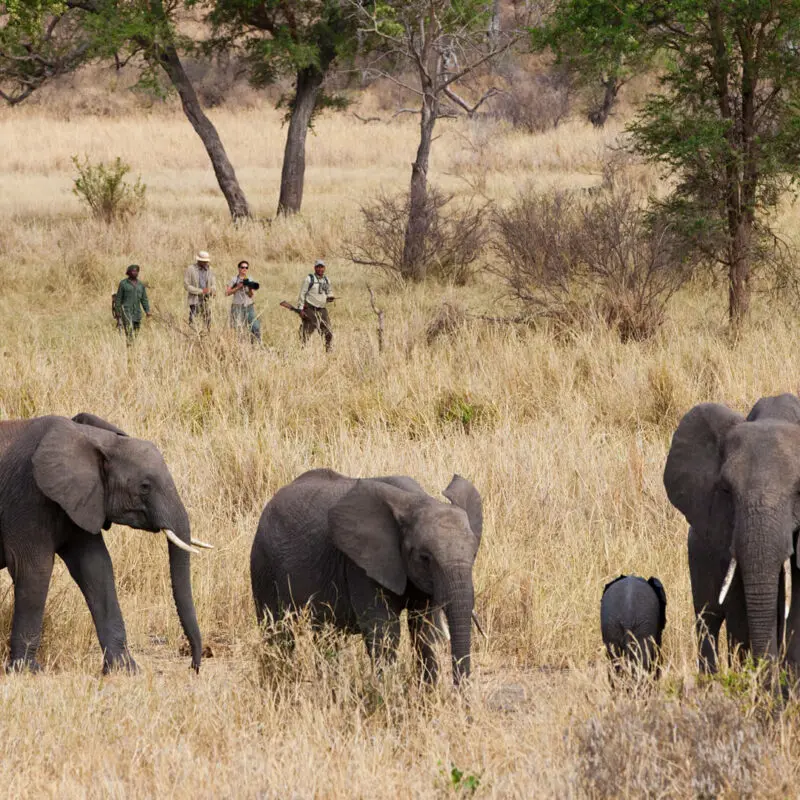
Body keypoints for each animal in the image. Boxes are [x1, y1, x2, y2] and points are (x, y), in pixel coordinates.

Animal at [0, 413, 210, 673]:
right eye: (144, 487)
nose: (194, 667)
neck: (95, 440)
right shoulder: (27, 497)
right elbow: (33, 570)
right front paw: (27, 671)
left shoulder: (84, 500)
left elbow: (96, 568)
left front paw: (125, 670)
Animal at [250, 468, 483, 685]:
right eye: (425, 558)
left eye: (474, 555)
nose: (460, 693)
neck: (417, 501)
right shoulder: (361, 566)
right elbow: (385, 632)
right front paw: (388, 694)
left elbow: (424, 632)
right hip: (263, 564)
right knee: (278, 632)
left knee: (325, 635)